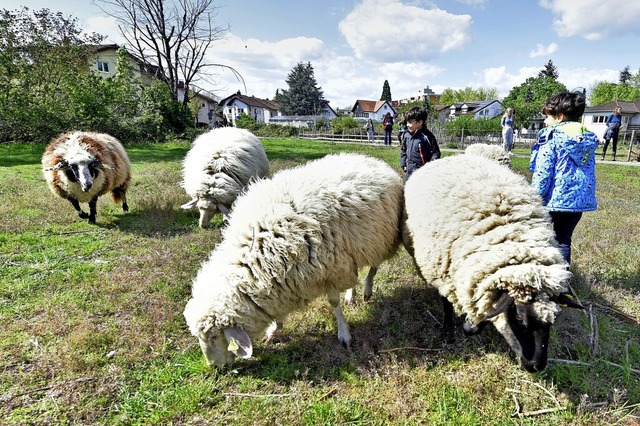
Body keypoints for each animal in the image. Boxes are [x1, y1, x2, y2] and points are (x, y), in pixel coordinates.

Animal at [181, 152, 400, 366]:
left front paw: (343, 333)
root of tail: (367, 157)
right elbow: (279, 313)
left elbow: (333, 302)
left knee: (373, 267)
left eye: (213, 337)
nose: (213, 366)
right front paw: (273, 330)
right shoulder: (285, 283)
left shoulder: (330, 269)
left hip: (380, 238)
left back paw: (367, 290)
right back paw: (351, 294)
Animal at [402, 155, 584, 372]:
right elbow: (448, 304)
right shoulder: (443, 272)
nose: (536, 366)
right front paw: (452, 331)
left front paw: (472, 325)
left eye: (552, 320)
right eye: (519, 318)